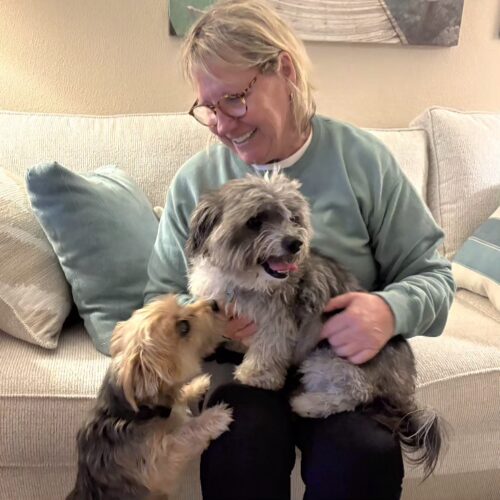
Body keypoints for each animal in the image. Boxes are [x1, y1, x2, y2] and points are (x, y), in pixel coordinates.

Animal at [67, 295, 233, 500]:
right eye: (183, 327)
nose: (215, 303)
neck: (137, 413)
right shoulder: (159, 463)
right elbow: (185, 432)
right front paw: (215, 416)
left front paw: (197, 386)